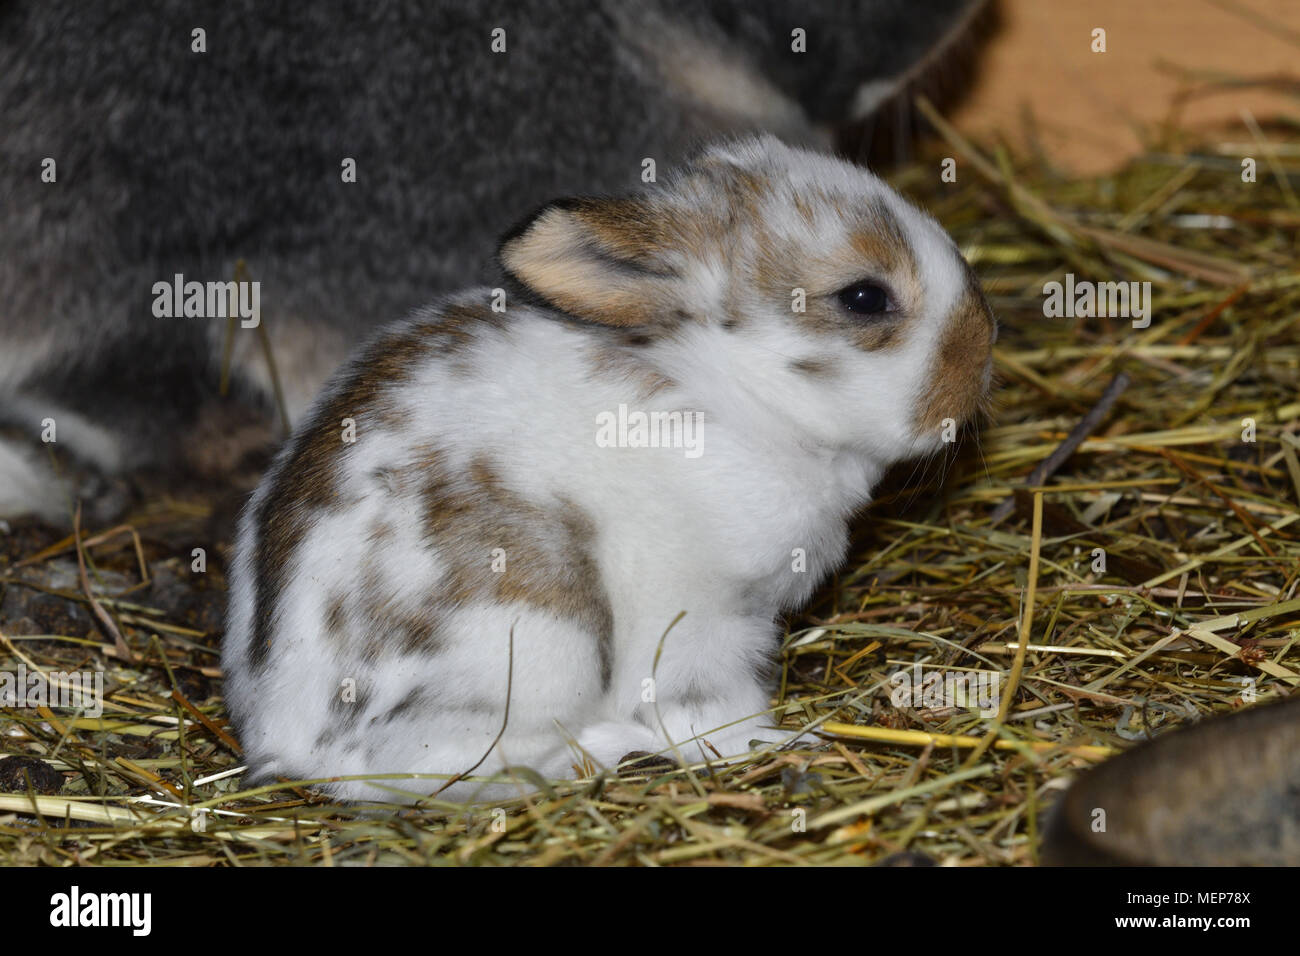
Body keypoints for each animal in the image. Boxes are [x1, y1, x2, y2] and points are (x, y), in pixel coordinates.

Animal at [220, 134, 997, 802]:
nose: (987, 346)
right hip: (538, 637)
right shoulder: (701, 619)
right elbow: (709, 704)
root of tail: (283, 735)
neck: (733, 395)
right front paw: (766, 742)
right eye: (865, 297)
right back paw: (607, 750)